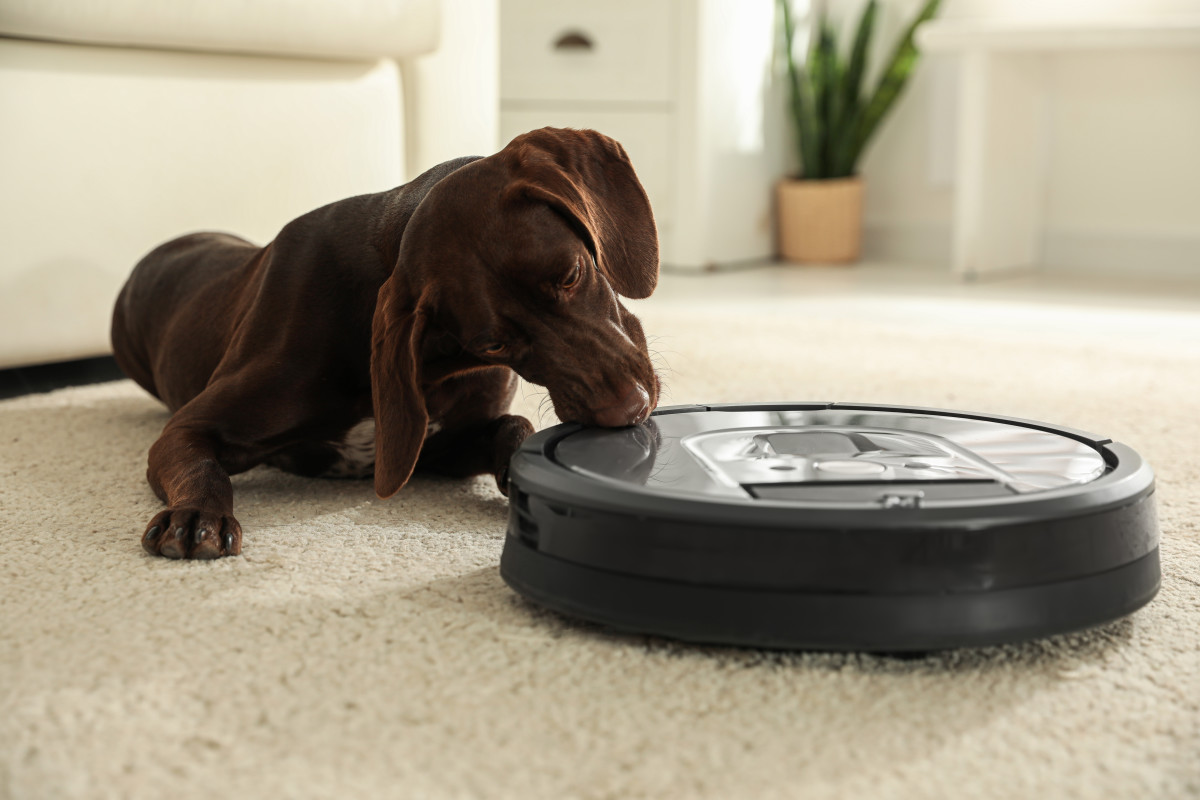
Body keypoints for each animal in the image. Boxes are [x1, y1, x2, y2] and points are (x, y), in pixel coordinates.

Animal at [109, 128, 662, 561]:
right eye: (491, 344)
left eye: (570, 274)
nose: (628, 409)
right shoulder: (189, 428)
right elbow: (202, 464)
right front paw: (195, 513)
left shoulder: (444, 449)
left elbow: (515, 426)